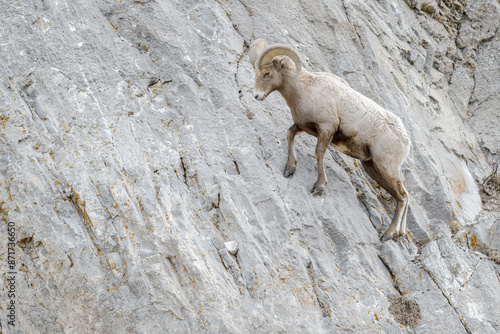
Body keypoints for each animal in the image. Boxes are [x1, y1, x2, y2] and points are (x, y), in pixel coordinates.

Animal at [249, 39, 410, 241]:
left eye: (267, 73)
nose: (256, 95)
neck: (305, 89)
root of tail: (406, 140)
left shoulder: (326, 129)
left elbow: (318, 153)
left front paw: (318, 187)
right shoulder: (303, 126)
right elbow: (289, 134)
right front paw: (289, 169)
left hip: (386, 167)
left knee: (403, 195)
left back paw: (388, 234)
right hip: (372, 168)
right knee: (401, 196)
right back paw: (399, 234)